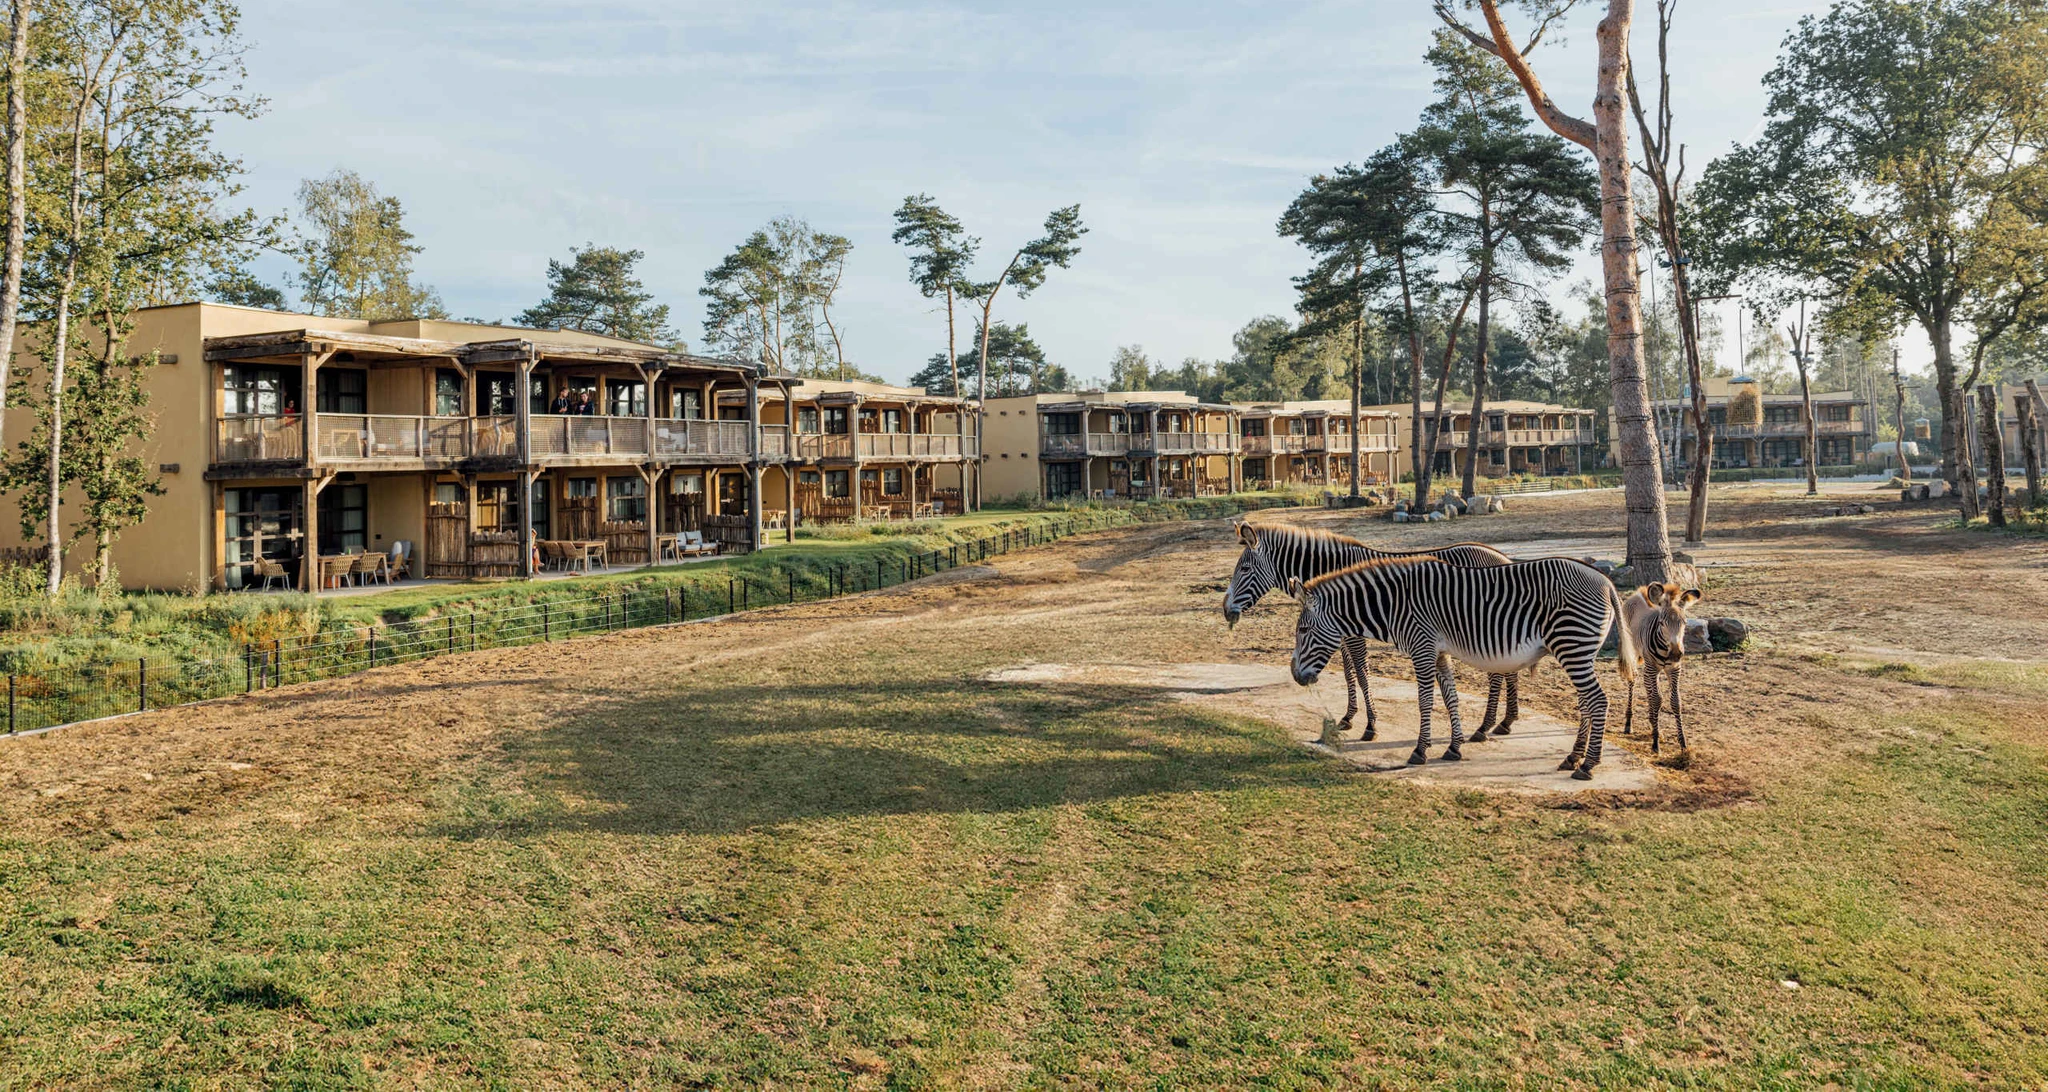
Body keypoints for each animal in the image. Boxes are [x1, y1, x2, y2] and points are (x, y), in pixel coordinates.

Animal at [1222, 522, 1523, 742]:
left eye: (1244, 568)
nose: (1226, 610)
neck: (1333, 572)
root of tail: (1502, 556)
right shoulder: (1339, 633)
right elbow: (1348, 673)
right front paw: (1348, 717)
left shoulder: (1353, 633)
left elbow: (1362, 672)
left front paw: (1370, 726)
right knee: (1509, 670)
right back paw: (1505, 721)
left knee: (1497, 674)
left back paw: (1484, 727)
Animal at [1286, 555, 1636, 779]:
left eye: (1302, 630)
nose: (1295, 675)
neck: (1395, 604)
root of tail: (1605, 581)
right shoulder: (1439, 652)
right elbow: (1450, 697)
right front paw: (1454, 747)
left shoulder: (1422, 647)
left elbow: (1425, 701)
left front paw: (1420, 751)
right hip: (1578, 650)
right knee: (1586, 703)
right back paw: (1572, 757)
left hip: (1572, 645)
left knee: (1598, 701)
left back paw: (1588, 765)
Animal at [1620, 582, 1702, 755]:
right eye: (1661, 623)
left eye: (1684, 623)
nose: (1676, 653)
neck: (1666, 649)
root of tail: (1638, 592)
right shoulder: (1653, 667)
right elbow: (1657, 699)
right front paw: (1655, 743)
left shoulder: (1674, 668)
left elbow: (1675, 701)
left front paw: (1683, 744)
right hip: (1634, 653)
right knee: (1633, 679)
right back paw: (1629, 722)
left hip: (1650, 666)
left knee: (1647, 686)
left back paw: (1652, 722)